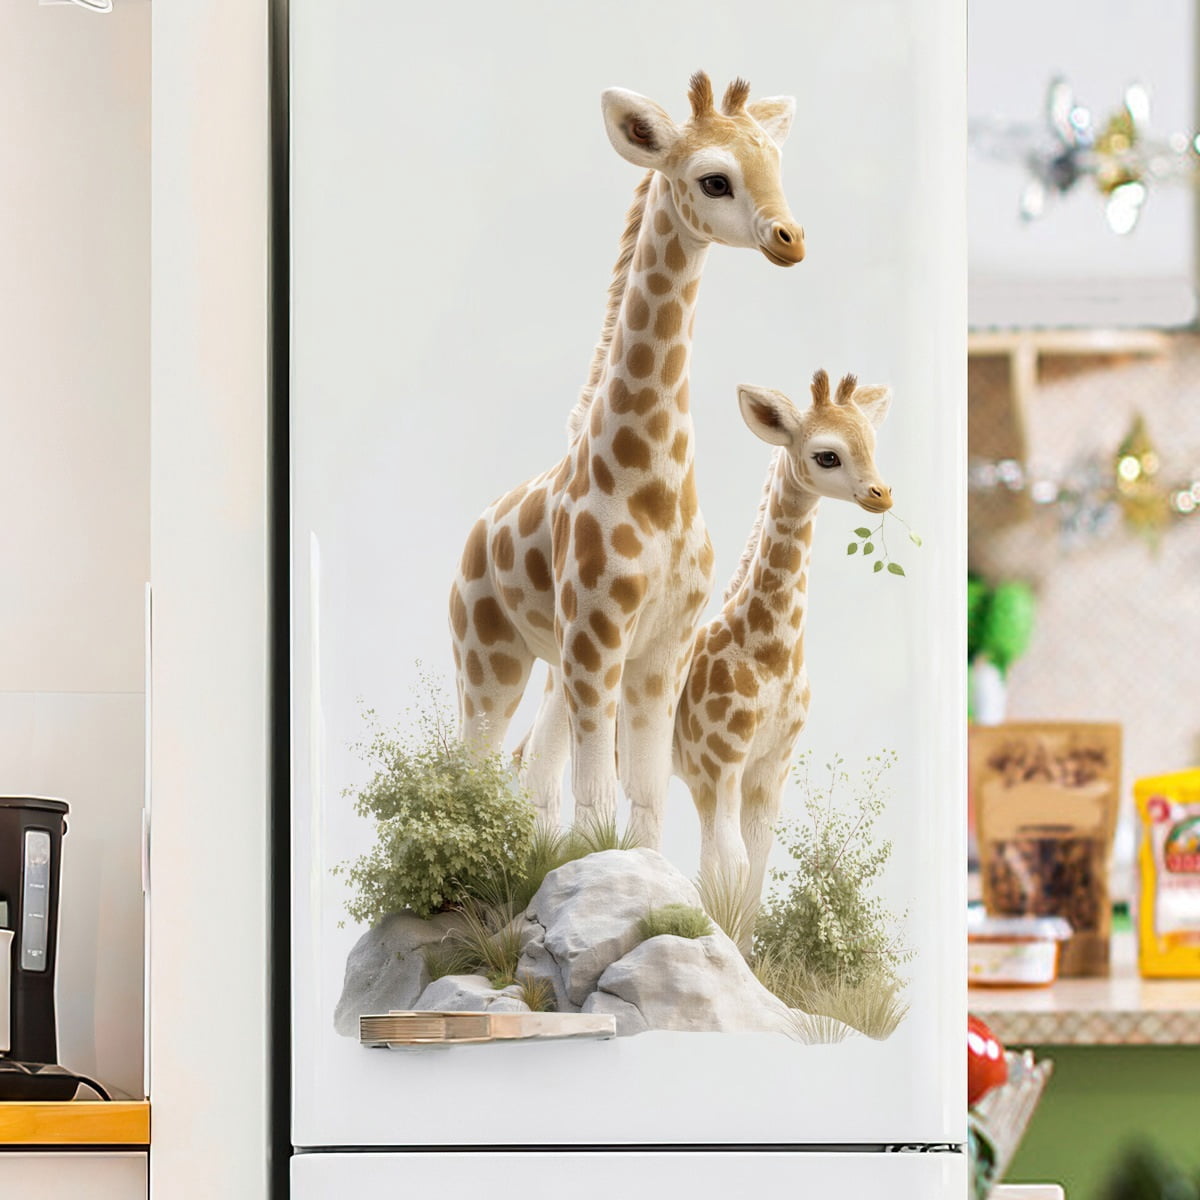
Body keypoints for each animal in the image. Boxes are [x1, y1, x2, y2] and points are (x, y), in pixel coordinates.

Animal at [449, 72, 804, 847]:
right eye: (713, 179)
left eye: (776, 166)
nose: (789, 239)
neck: (651, 480)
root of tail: (475, 531)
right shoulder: (597, 637)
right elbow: (599, 797)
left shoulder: (659, 649)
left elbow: (643, 798)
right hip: (491, 658)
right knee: (472, 767)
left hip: (556, 667)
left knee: (532, 775)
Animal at [673, 370, 893, 947]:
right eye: (827, 455)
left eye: (873, 443)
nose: (881, 494)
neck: (770, 652)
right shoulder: (720, 764)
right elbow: (730, 866)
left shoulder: (769, 768)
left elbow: (753, 868)